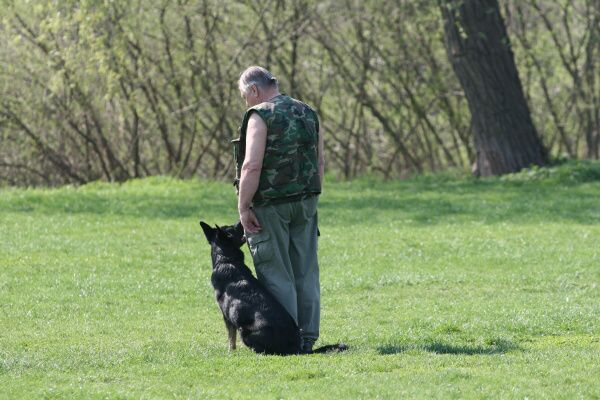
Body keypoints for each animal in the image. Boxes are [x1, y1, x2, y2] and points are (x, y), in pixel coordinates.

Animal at [200, 220, 347, 355]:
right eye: (234, 227)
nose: (241, 221)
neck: (226, 260)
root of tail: (297, 348)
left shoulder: (226, 316)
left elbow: (231, 338)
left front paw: (231, 352)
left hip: (245, 332)